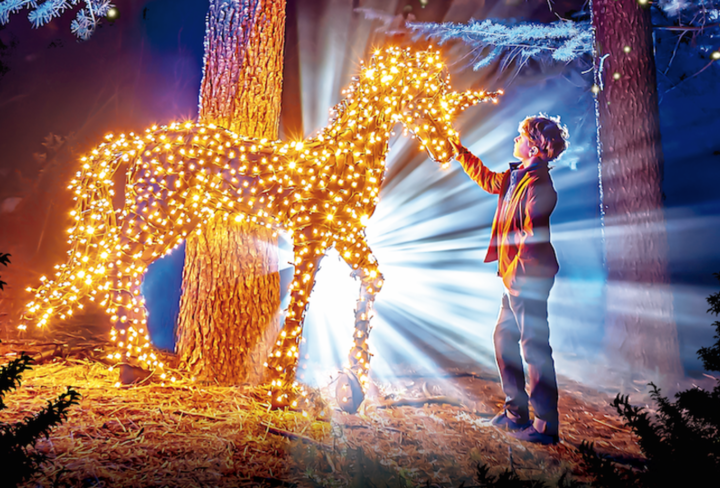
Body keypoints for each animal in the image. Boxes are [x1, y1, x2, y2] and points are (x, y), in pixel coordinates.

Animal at [21, 44, 500, 412]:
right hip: (159, 215)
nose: (447, 149)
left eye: (438, 93)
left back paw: (135, 362)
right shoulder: (312, 236)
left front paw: (353, 381)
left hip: (171, 216)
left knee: (117, 265)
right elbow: (300, 303)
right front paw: (282, 389)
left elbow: (372, 282)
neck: (343, 161)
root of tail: (141, 140)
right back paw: (136, 362)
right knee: (119, 264)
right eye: (415, 93)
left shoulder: (347, 234)